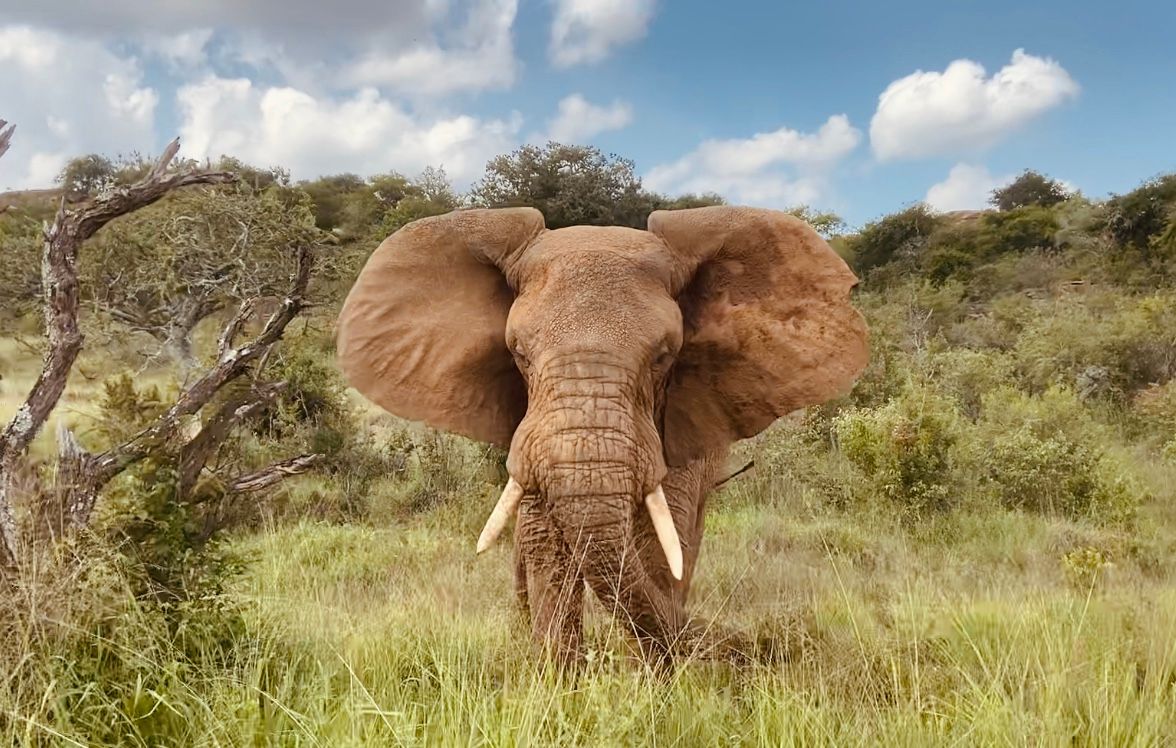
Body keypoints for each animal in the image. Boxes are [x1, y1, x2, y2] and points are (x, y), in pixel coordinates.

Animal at [335, 205, 868, 664]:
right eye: (518, 352)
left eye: (665, 356)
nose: (708, 643)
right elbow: (546, 542)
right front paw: (557, 690)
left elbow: (659, 542)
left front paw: (656, 688)